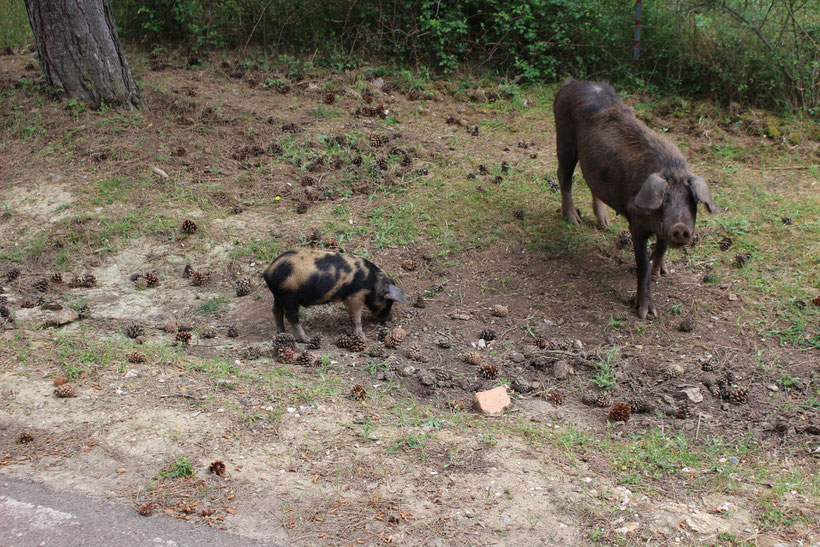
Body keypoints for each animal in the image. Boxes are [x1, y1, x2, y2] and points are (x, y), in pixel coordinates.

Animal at [262, 249, 406, 342]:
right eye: (388, 302)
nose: (390, 319)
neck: (372, 282)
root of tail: (268, 271)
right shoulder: (354, 295)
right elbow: (356, 318)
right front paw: (364, 339)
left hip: (278, 295)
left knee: (276, 311)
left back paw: (282, 333)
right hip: (288, 295)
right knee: (291, 316)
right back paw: (306, 339)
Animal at [556, 78, 716, 318]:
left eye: (692, 200)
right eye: (665, 199)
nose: (680, 227)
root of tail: (572, 82)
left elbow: (661, 247)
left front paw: (661, 273)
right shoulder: (636, 223)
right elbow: (642, 266)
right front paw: (646, 314)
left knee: (590, 182)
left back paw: (605, 225)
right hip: (564, 140)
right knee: (564, 176)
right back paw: (574, 221)